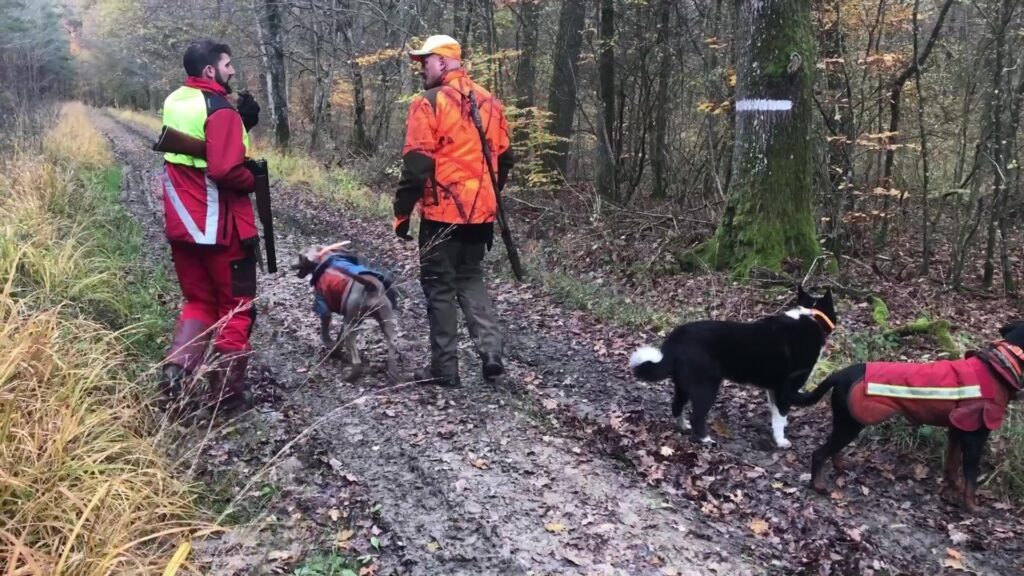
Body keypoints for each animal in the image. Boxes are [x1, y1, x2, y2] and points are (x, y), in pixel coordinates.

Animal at [626, 284, 835, 446]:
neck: (811, 318)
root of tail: (677, 337)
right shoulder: (786, 389)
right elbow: (781, 414)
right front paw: (781, 440)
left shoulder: (773, 389)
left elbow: (776, 412)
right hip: (706, 386)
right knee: (697, 415)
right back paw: (705, 439)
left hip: (683, 384)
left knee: (676, 405)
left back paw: (683, 427)